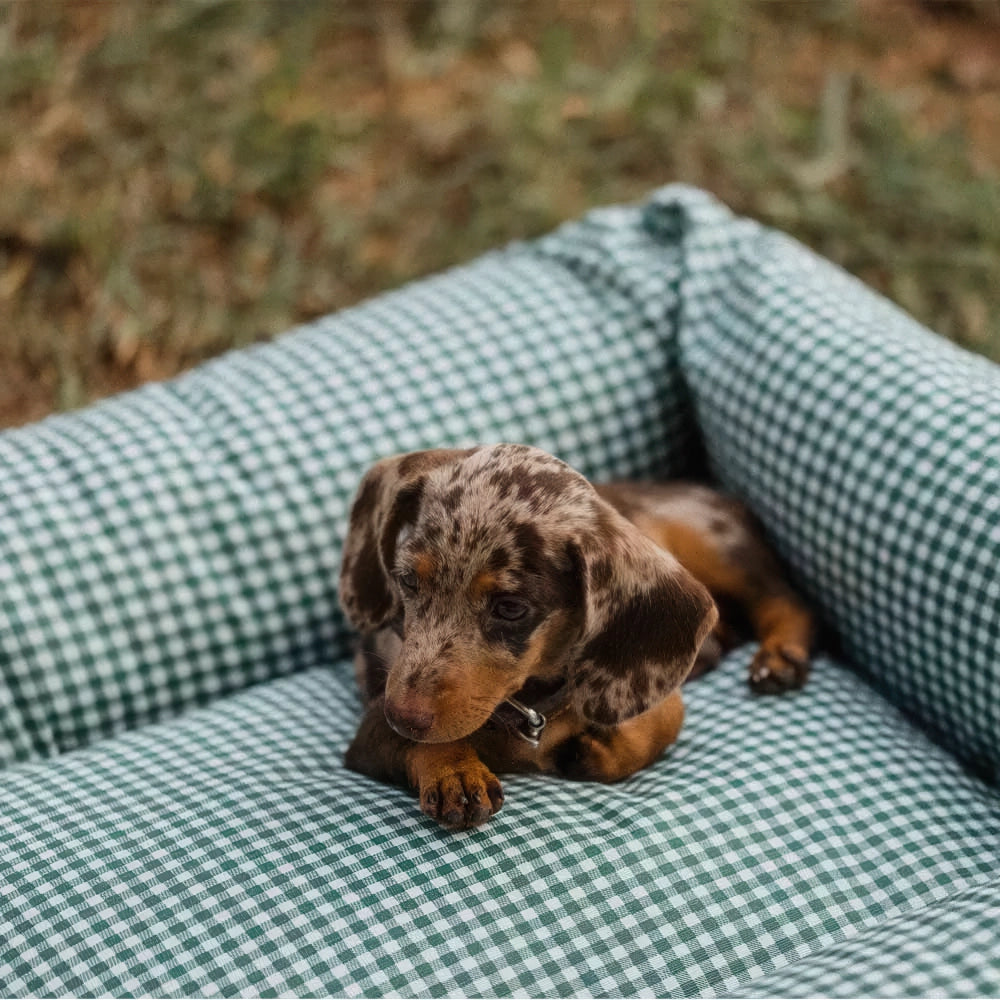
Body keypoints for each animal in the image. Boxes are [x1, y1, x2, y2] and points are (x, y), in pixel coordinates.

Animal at [338, 446, 812, 828]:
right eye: (407, 581)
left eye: (510, 608)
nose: (403, 714)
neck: (527, 705)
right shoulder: (372, 729)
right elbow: (418, 743)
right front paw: (453, 770)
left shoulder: (661, 699)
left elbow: (656, 726)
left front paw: (595, 751)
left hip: (712, 545)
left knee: (783, 599)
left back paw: (782, 656)